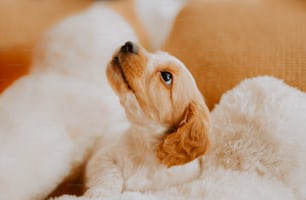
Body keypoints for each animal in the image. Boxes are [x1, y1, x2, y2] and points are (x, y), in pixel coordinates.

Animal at [83, 41, 210, 197]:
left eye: (166, 76)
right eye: (156, 54)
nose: (128, 44)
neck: (144, 147)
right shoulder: (101, 158)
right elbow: (109, 174)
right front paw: (101, 193)